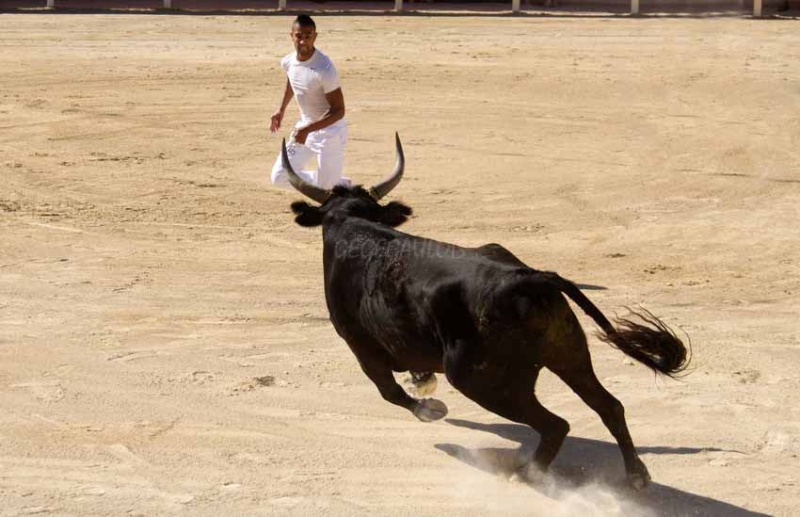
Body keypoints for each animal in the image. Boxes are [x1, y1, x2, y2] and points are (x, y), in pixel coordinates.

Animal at [280, 136, 688, 488]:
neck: (354, 222)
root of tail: (529, 278)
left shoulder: (360, 345)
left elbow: (390, 391)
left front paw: (431, 407)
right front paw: (424, 382)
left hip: (481, 380)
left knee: (556, 424)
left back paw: (526, 475)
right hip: (569, 353)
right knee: (609, 406)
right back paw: (635, 475)